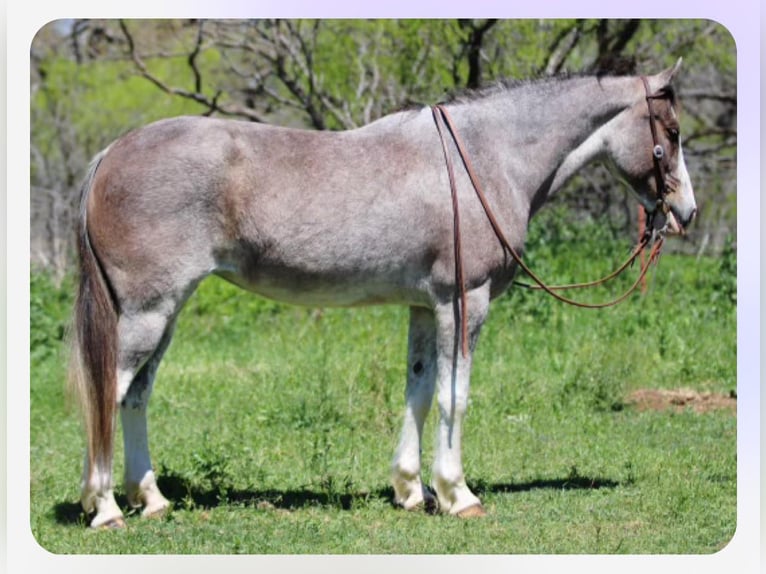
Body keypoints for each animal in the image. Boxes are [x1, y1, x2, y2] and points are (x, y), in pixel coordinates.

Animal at [69, 58, 700, 532]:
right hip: (148, 314)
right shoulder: (464, 303)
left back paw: (151, 500)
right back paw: (104, 508)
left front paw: (411, 490)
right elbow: (453, 398)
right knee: (107, 393)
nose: (686, 212)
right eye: (670, 134)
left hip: (164, 315)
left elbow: (418, 393)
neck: (487, 156)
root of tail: (110, 154)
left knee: (134, 397)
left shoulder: (425, 306)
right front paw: (458, 494)